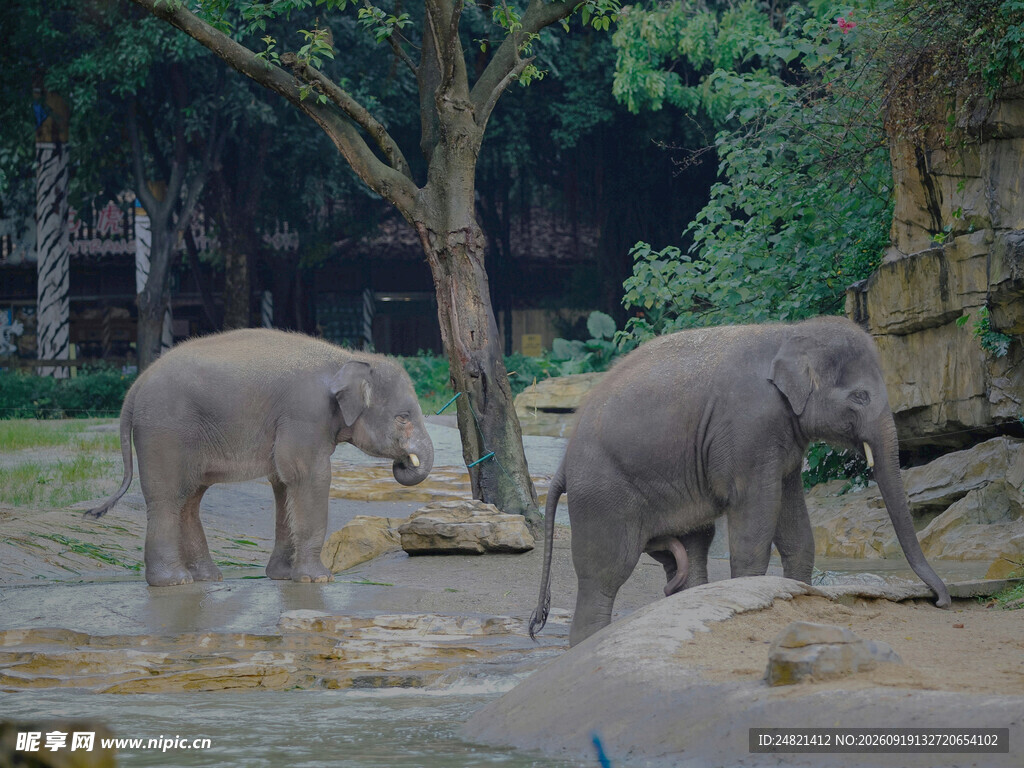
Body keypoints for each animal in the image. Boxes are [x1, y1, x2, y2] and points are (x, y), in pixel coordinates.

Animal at [87, 328, 433, 587]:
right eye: (403, 417)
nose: (403, 461)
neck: (346, 358)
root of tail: (135, 387)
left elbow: (283, 482)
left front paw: (282, 576)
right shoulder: (304, 414)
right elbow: (308, 475)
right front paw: (318, 579)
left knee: (190, 498)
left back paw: (206, 578)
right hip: (164, 431)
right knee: (167, 497)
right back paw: (174, 582)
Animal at [529, 316, 951, 647]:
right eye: (860, 396)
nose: (941, 601)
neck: (788, 333)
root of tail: (563, 464)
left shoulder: (782, 438)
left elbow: (795, 525)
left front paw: (800, 596)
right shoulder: (750, 428)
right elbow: (755, 516)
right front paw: (753, 595)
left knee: (691, 552)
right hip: (603, 494)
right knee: (605, 573)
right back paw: (588, 642)